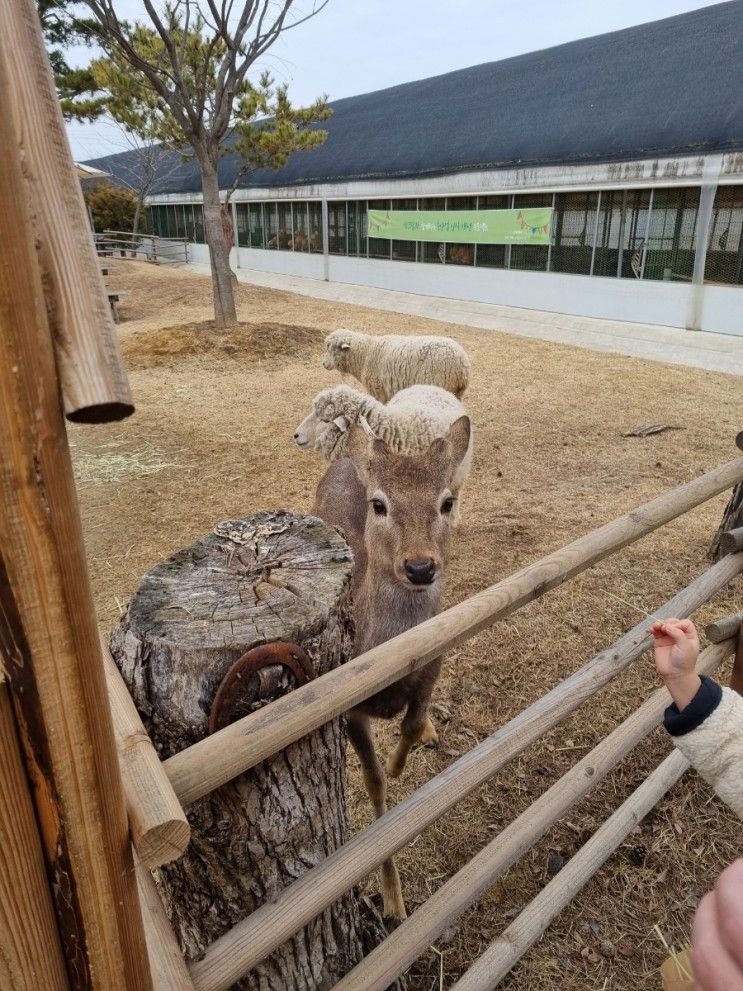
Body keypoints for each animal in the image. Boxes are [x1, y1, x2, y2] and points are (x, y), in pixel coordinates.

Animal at [314, 414, 470, 920]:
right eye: (378, 503)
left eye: (447, 501)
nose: (420, 566)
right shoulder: (348, 711)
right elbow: (376, 783)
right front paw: (393, 901)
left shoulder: (435, 666)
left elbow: (413, 721)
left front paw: (409, 752)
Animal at [322, 328, 470, 402]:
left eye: (334, 348)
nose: (324, 364)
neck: (366, 354)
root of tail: (462, 366)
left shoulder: (378, 389)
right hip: (456, 393)